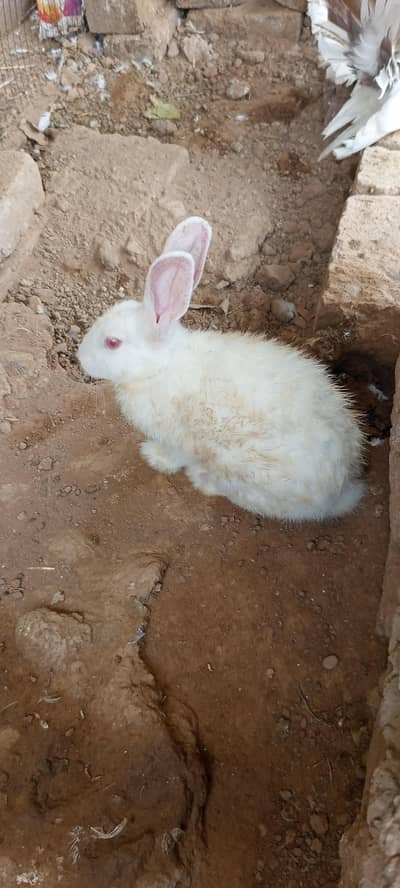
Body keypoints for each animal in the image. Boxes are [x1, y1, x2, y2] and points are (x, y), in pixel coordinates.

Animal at [78, 216, 365, 522]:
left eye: (112, 342)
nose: (80, 357)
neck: (161, 367)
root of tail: (340, 493)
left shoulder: (178, 439)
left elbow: (175, 456)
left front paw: (153, 456)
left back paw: (202, 478)